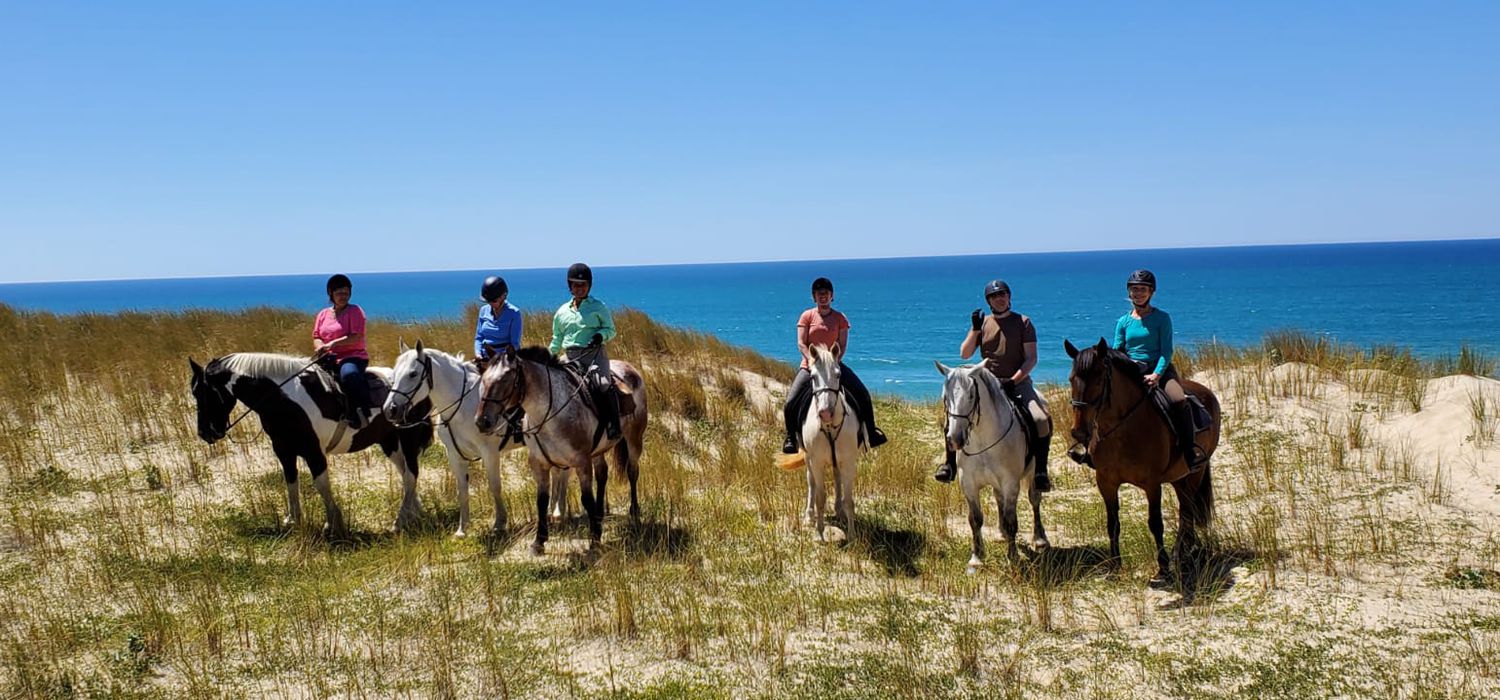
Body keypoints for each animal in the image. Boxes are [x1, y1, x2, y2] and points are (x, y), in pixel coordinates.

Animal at [187, 353, 435, 539]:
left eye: (205, 393)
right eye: (194, 392)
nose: (205, 433)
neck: (284, 399)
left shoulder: (314, 452)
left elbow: (321, 485)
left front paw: (333, 525)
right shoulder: (283, 450)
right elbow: (290, 481)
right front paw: (292, 520)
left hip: (408, 437)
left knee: (411, 473)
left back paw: (400, 521)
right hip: (388, 441)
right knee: (405, 473)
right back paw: (415, 512)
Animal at [384, 343, 531, 539]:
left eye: (413, 374)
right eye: (394, 374)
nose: (390, 410)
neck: (463, 406)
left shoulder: (490, 453)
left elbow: (495, 486)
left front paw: (499, 523)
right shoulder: (454, 455)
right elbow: (462, 490)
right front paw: (462, 529)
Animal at [477, 343, 648, 554]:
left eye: (505, 379)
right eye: (484, 379)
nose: (482, 422)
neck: (548, 415)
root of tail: (629, 368)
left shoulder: (581, 462)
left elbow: (586, 499)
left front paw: (594, 540)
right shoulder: (539, 464)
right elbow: (542, 501)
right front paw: (539, 542)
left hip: (634, 439)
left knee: (632, 472)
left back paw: (634, 512)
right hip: (598, 450)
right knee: (602, 474)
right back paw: (599, 516)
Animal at [930, 361, 1050, 575]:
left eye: (971, 395)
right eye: (945, 396)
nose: (955, 439)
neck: (982, 439)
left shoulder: (1011, 484)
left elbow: (1012, 522)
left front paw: (1013, 558)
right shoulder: (968, 484)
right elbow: (975, 519)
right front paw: (976, 558)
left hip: (1033, 472)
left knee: (1034, 500)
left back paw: (1039, 538)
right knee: (998, 498)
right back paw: (1001, 533)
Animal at [1068, 340, 1218, 590]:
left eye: (1099, 379)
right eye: (1071, 379)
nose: (1079, 432)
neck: (1122, 429)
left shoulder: (1152, 484)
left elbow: (1155, 523)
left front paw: (1163, 569)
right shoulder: (1106, 483)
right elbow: (1113, 524)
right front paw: (1114, 567)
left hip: (1195, 473)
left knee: (1187, 510)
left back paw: (1179, 555)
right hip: (1179, 476)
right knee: (1185, 510)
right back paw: (1185, 550)